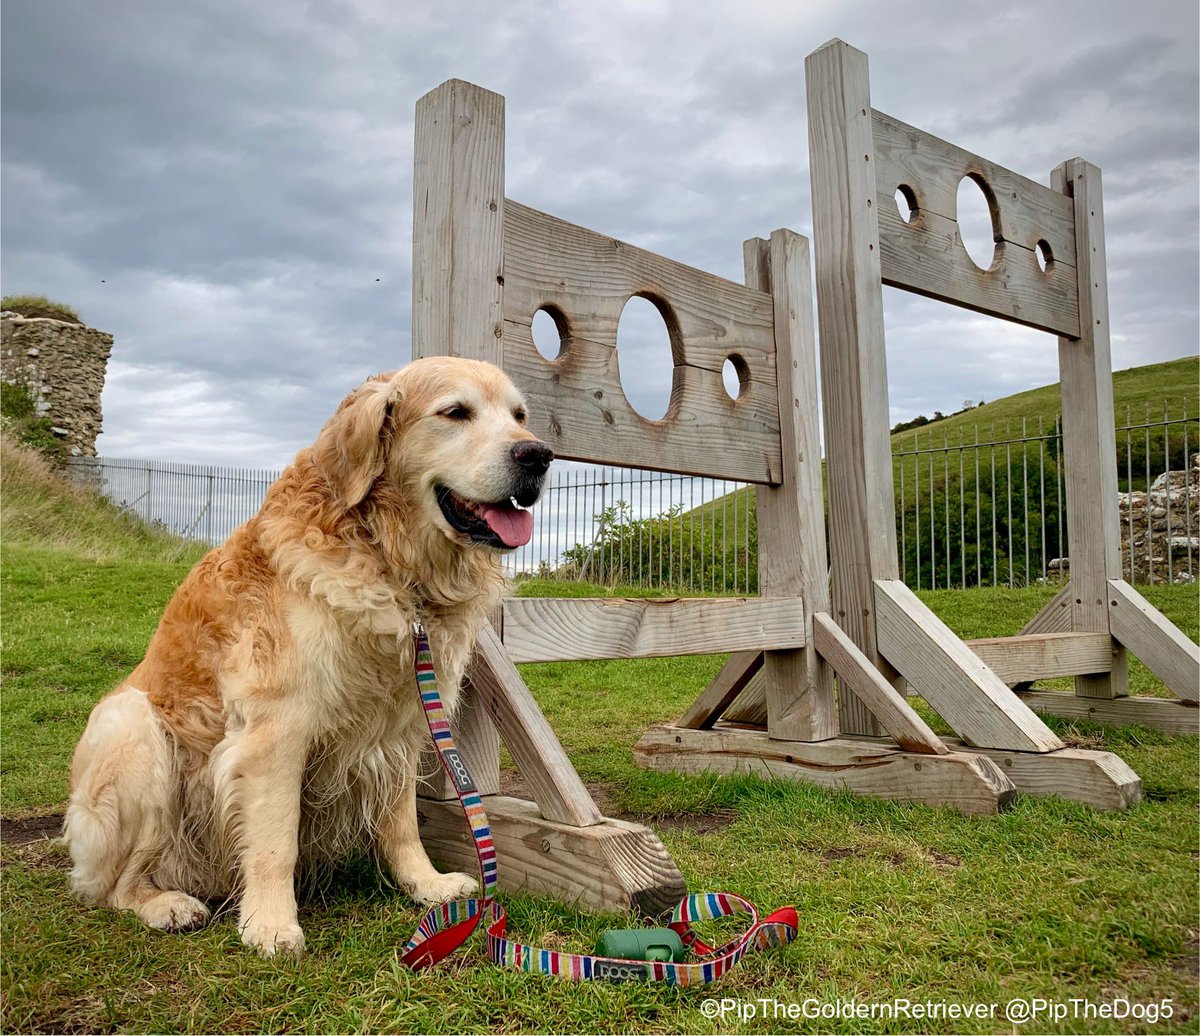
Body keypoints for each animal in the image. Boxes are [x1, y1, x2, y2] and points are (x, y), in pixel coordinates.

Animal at [63, 355, 549, 955]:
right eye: (455, 412)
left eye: (520, 416)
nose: (538, 455)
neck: (390, 561)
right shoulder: (277, 730)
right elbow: (276, 840)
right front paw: (270, 924)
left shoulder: (406, 724)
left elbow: (401, 822)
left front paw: (426, 885)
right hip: (133, 728)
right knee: (113, 885)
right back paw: (165, 904)